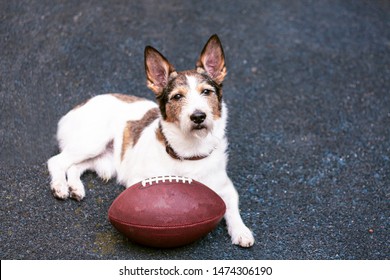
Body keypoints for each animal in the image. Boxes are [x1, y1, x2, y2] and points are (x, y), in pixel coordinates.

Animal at [47, 34, 254, 247]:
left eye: (206, 92)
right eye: (177, 96)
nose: (198, 116)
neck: (190, 152)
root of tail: (77, 106)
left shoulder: (225, 186)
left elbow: (232, 206)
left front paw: (241, 231)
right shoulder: (138, 178)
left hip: (104, 159)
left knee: (74, 167)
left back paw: (75, 187)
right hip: (91, 143)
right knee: (56, 161)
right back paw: (60, 186)